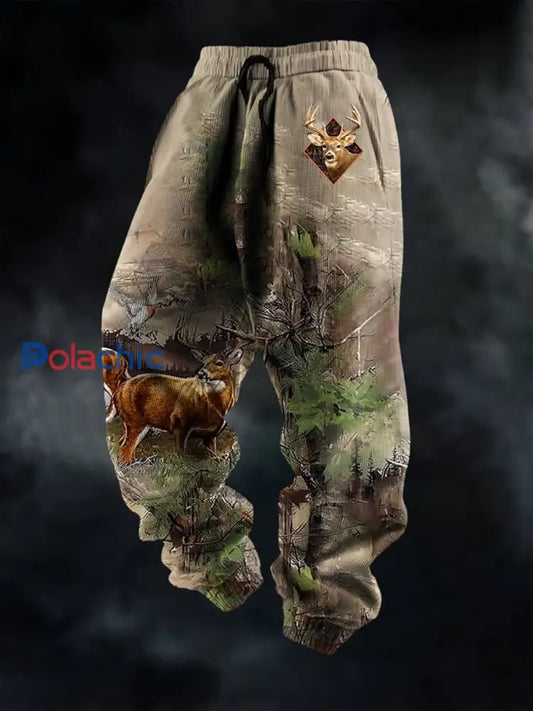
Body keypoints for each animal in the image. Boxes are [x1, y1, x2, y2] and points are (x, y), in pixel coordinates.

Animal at [109, 346, 244, 465]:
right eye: (203, 362)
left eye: (219, 363)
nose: (201, 374)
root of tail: (119, 389)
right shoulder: (180, 422)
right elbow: (181, 457)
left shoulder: (211, 435)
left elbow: (214, 458)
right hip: (135, 420)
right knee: (125, 448)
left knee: (122, 445)